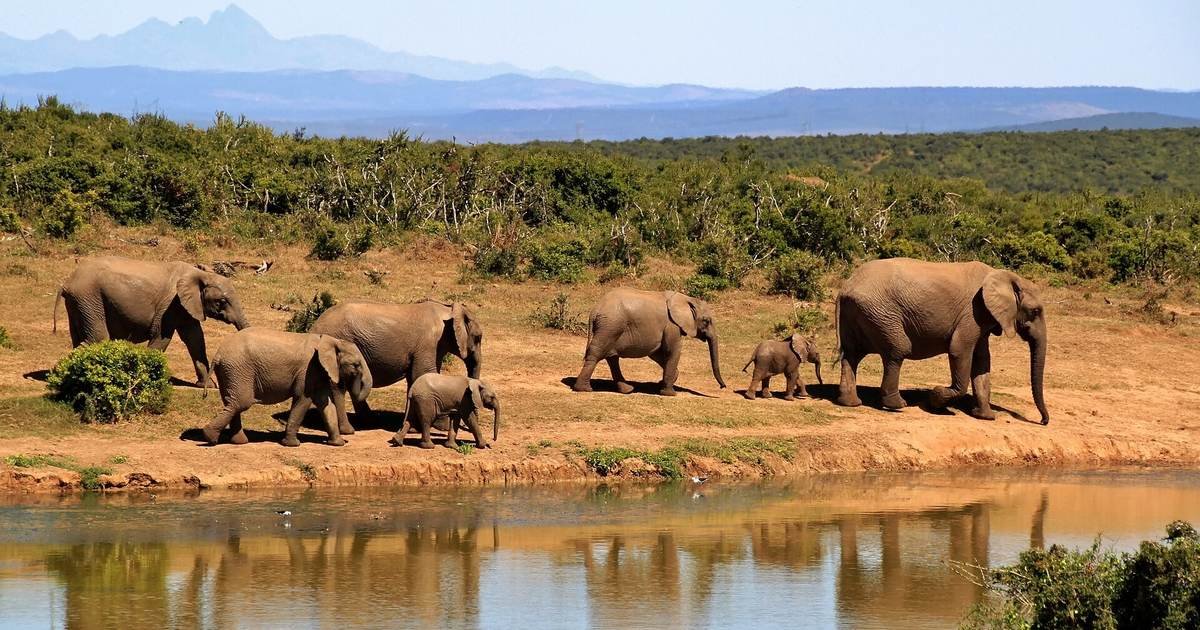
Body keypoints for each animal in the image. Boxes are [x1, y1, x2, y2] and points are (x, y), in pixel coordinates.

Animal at [54, 256, 249, 386]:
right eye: (221, 301)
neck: (200, 274)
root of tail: (67, 283)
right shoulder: (171, 305)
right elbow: (162, 337)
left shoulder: (187, 307)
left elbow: (195, 340)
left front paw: (207, 386)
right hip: (89, 299)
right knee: (97, 338)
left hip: (79, 303)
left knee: (81, 339)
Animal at [201, 329, 372, 447]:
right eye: (356, 365)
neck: (330, 340)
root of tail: (218, 355)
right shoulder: (308, 370)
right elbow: (303, 399)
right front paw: (292, 445)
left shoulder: (317, 372)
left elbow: (325, 404)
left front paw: (337, 444)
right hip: (238, 369)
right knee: (241, 402)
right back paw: (210, 437)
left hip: (230, 371)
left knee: (232, 402)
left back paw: (239, 441)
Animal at [309, 299, 483, 420]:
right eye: (478, 337)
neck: (448, 309)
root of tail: (314, 326)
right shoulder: (429, 344)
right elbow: (423, 374)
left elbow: (416, 378)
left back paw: (368, 418)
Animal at [573, 288, 726, 396]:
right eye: (706, 321)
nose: (723, 387)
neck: (686, 298)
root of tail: (594, 310)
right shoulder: (672, 325)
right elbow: (673, 350)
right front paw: (670, 393)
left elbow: (656, 353)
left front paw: (665, 381)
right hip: (610, 326)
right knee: (596, 354)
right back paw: (584, 389)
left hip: (611, 328)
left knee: (612, 357)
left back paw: (627, 390)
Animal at [834, 258, 1049, 424]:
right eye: (1035, 311)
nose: (1043, 421)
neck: (1005, 276)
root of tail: (845, 287)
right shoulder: (973, 312)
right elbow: (959, 350)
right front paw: (935, 399)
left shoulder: (983, 318)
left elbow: (982, 361)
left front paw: (985, 416)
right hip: (880, 313)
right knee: (898, 350)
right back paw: (897, 405)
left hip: (860, 313)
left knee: (852, 354)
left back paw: (851, 403)